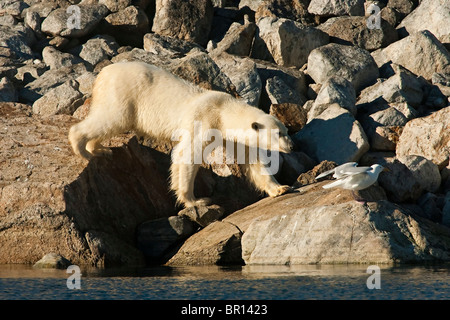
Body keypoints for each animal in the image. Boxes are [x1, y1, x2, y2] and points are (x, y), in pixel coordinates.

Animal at [67, 62, 292, 208]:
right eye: (279, 133)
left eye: (286, 131)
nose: (292, 146)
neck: (223, 110)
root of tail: (102, 74)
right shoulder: (203, 120)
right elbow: (188, 154)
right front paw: (196, 200)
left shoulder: (232, 137)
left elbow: (252, 160)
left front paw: (280, 188)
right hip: (124, 95)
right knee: (111, 118)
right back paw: (83, 150)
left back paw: (100, 149)